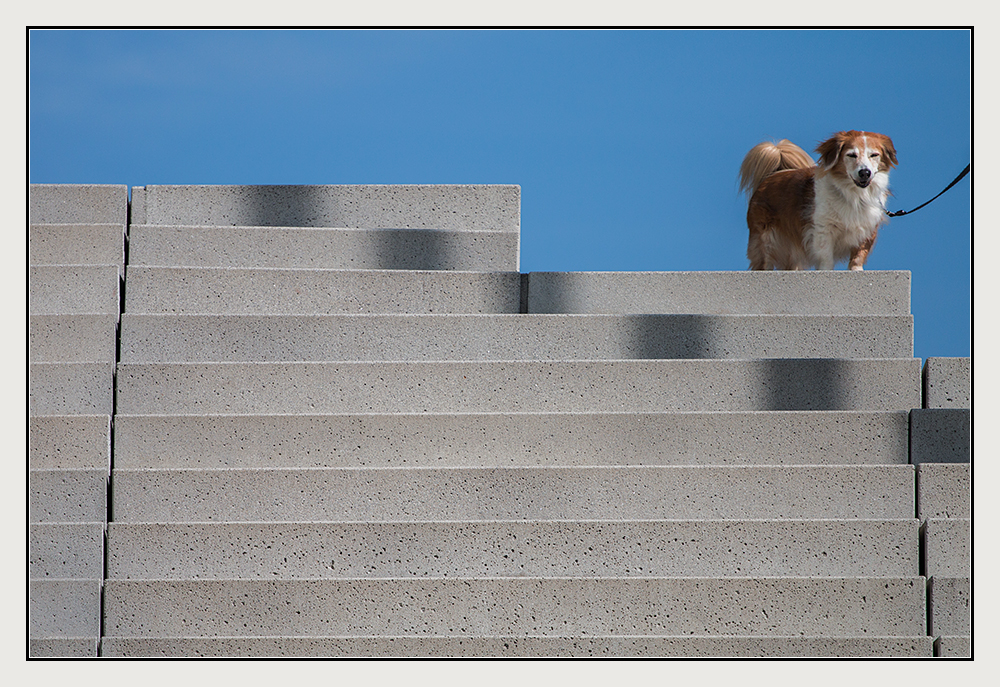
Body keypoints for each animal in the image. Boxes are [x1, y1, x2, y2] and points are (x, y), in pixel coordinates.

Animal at [736, 130, 900, 270]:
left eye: (874, 155)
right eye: (851, 155)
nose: (865, 172)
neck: (854, 195)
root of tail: (773, 175)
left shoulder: (867, 229)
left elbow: (858, 256)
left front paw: (856, 270)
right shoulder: (823, 229)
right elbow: (826, 256)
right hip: (766, 240)